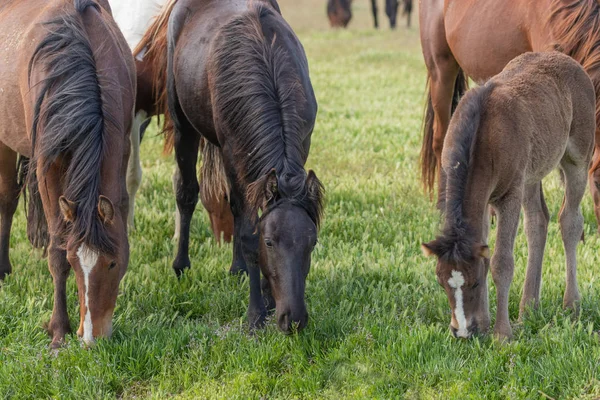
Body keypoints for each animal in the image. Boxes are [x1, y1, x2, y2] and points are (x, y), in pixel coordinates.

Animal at [0, 0, 135, 346]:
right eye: (76, 262)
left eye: (113, 263)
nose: (91, 338)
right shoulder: (47, 168)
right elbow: (56, 253)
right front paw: (59, 330)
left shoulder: (122, 149)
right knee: (7, 200)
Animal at [137, 0, 324, 334]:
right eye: (269, 242)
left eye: (311, 242)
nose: (294, 320)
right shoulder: (231, 152)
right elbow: (248, 231)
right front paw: (255, 314)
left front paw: (267, 294)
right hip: (185, 126)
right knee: (187, 193)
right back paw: (181, 265)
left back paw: (237, 268)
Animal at [422, 52, 596, 340]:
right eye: (440, 281)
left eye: (474, 282)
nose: (461, 331)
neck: (482, 133)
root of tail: (567, 60)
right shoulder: (482, 202)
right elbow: (486, 252)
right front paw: (483, 323)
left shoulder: (509, 195)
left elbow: (501, 262)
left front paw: (501, 334)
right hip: (531, 173)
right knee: (537, 222)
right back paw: (529, 308)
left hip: (578, 159)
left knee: (570, 221)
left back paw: (571, 303)